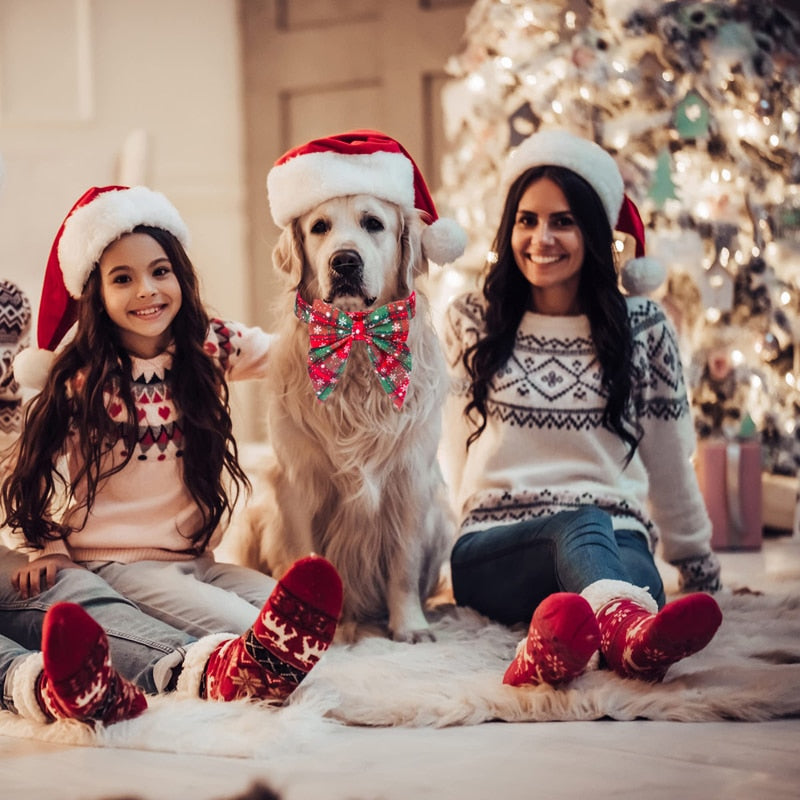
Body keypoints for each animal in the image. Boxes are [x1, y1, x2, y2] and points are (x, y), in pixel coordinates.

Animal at [241, 191, 456, 640]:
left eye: (373, 223)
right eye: (319, 227)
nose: (344, 262)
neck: (356, 345)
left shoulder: (410, 481)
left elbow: (404, 566)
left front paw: (409, 626)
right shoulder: (298, 483)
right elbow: (308, 560)